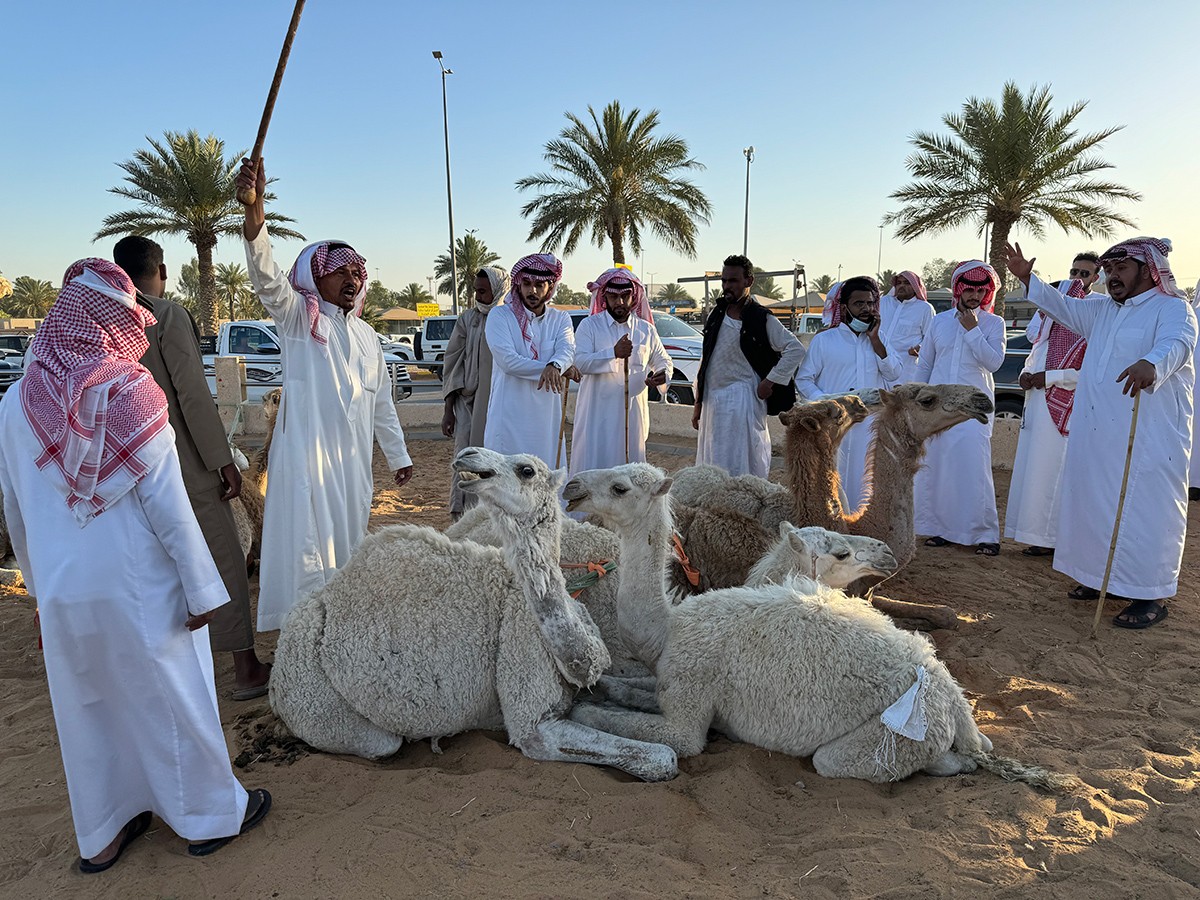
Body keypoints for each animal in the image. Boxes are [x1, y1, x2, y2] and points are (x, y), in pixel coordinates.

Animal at [270, 448, 676, 782]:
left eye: (526, 470)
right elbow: (661, 758)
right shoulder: (531, 712)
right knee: (379, 743)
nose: (467, 454)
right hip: (313, 698)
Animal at [561, 465, 993, 782]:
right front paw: (602, 687)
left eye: (619, 487)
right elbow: (627, 688)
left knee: (842, 761)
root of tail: (954, 701)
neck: (668, 628)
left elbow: (674, 737)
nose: (572, 485)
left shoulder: (692, 691)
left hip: (896, 736)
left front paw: (582, 709)